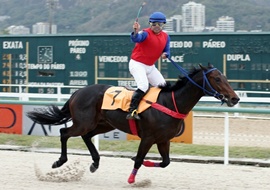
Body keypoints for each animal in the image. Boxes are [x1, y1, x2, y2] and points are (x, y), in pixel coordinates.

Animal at [26, 63, 238, 184]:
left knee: (86, 136)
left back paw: (95, 162)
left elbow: (165, 162)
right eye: (217, 79)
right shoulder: (148, 137)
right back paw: (59, 161)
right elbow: (138, 159)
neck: (170, 103)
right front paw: (132, 178)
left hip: (104, 124)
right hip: (83, 122)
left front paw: (146, 162)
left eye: (225, 77)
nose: (234, 98)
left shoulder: (164, 140)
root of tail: (78, 92)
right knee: (64, 133)